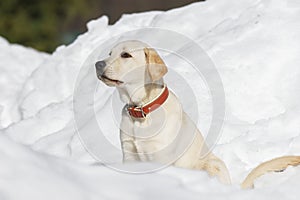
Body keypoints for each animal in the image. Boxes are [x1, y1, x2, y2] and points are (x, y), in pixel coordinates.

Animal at [95, 39, 300, 188]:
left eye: (126, 55)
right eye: (110, 53)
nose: (97, 64)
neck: (141, 110)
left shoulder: (160, 158)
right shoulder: (129, 154)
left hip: (212, 165)